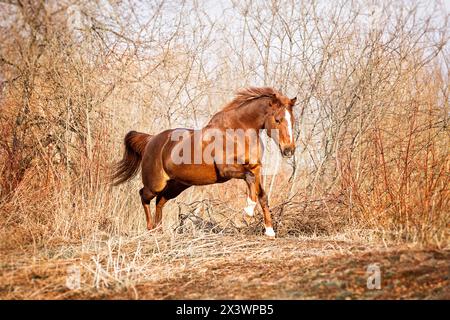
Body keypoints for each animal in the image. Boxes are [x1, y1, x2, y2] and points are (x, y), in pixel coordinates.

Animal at [112, 87, 296, 238]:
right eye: (278, 120)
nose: (289, 150)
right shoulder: (228, 170)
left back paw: (159, 230)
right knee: (144, 195)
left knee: (160, 201)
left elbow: (262, 195)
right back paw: (150, 228)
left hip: (177, 185)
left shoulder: (256, 167)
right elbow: (249, 179)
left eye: (292, 121)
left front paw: (270, 232)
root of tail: (151, 140)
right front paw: (249, 210)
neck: (238, 132)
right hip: (155, 183)